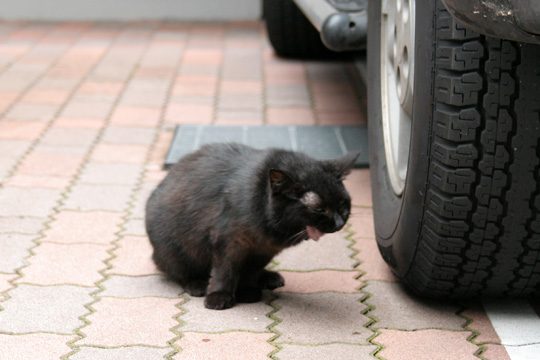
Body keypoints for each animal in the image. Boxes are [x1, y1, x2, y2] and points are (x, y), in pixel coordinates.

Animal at [147, 143, 358, 310]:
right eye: (320, 209)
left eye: (342, 205)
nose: (339, 223)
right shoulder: (229, 241)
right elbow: (225, 270)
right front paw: (219, 296)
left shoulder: (264, 250)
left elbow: (250, 271)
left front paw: (247, 291)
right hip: (175, 251)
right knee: (178, 271)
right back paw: (198, 284)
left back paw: (268, 278)